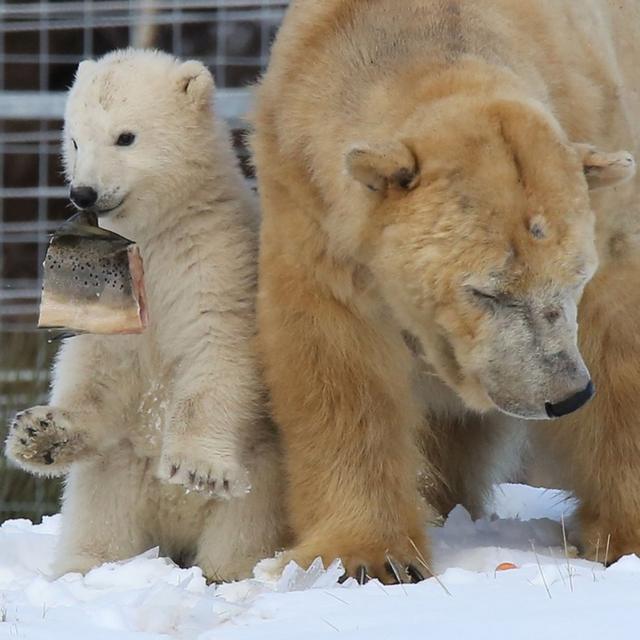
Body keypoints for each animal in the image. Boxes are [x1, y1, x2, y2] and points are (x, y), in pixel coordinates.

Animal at [251, 0, 640, 580]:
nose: (566, 395)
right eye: (486, 291)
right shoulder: (307, 194)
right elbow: (337, 362)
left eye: (575, 276)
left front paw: (622, 537)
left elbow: (615, 343)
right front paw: (367, 558)